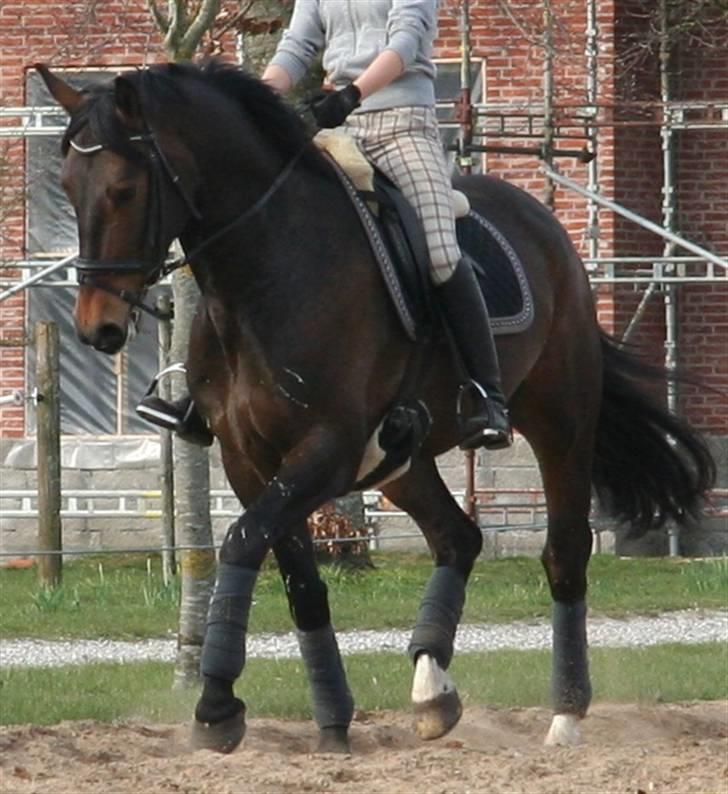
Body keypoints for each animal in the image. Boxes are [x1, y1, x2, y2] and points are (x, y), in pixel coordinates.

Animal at [37, 62, 712, 756]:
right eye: (65, 188)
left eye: (123, 190)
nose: (97, 328)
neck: (266, 274)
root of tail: (543, 220)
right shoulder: (249, 459)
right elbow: (298, 580)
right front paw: (332, 720)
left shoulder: (326, 449)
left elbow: (243, 540)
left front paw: (217, 705)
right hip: (399, 461)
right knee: (457, 537)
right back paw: (432, 690)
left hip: (560, 421)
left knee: (565, 552)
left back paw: (566, 714)